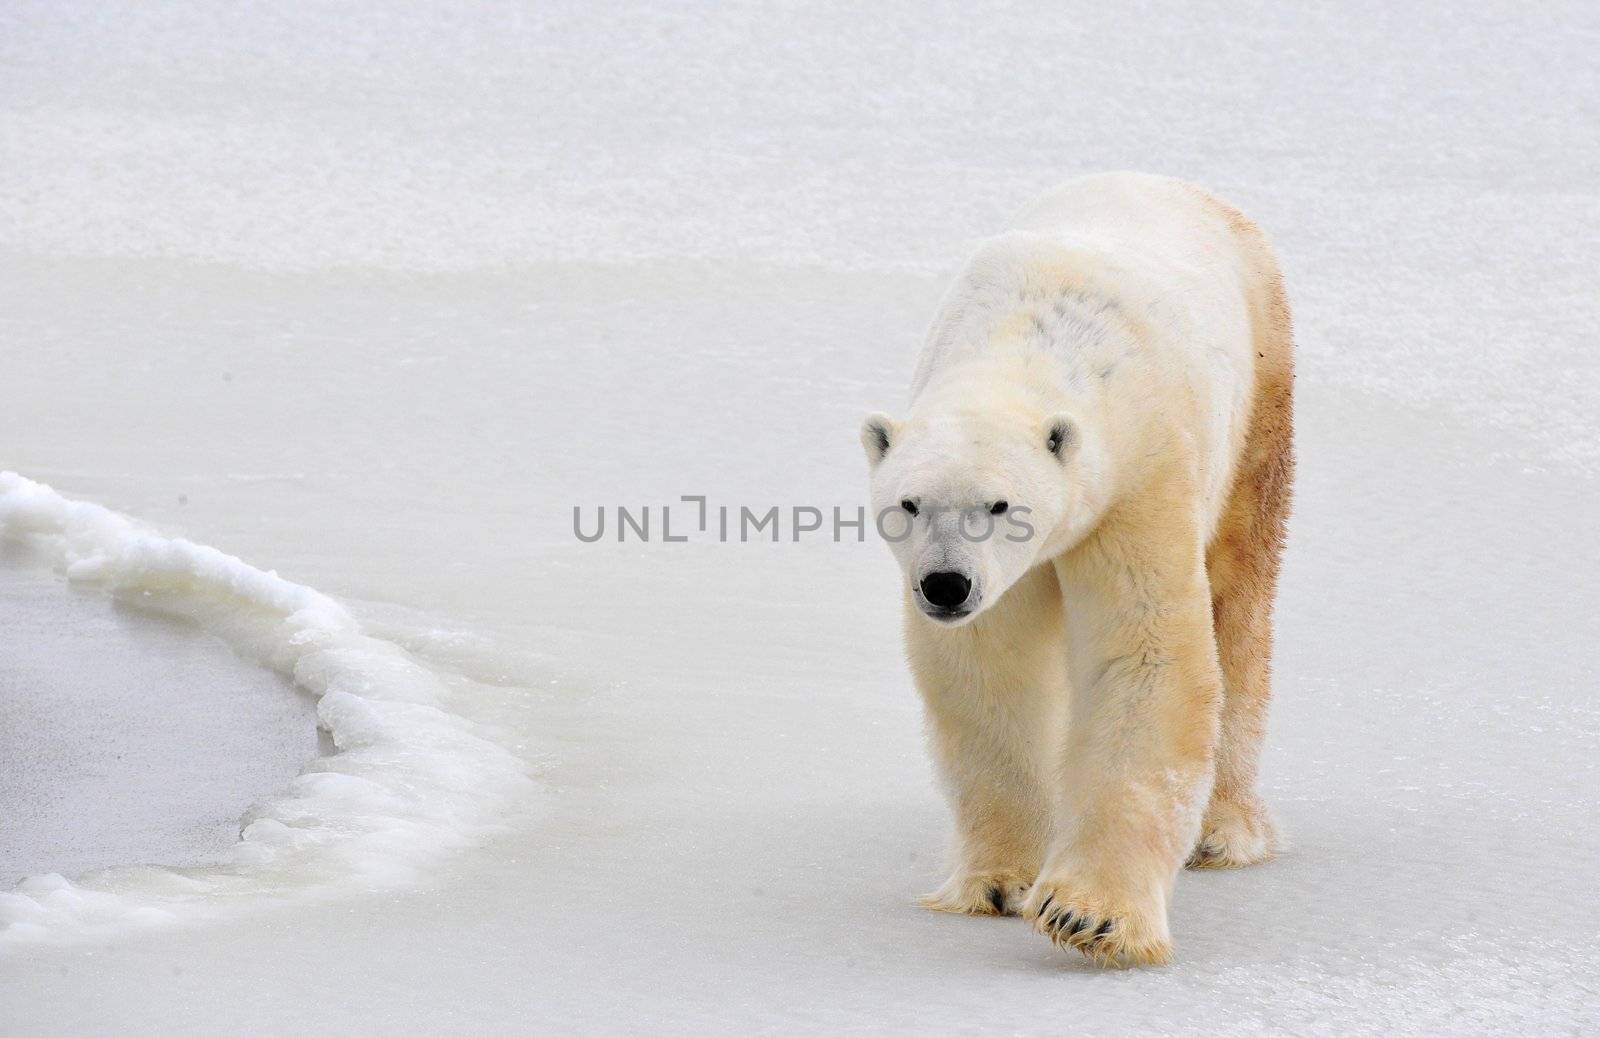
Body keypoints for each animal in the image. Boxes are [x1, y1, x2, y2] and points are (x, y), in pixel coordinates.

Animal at [857, 171, 1292, 966]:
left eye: (1001, 504)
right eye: (909, 503)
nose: (945, 584)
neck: (1029, 340)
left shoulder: (1139, 475)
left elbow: (1144, 653)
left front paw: (1089, 916)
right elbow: (989, 667)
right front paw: (1002, 880)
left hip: (1261, 392)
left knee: (1240, 596)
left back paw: (1226, 832)